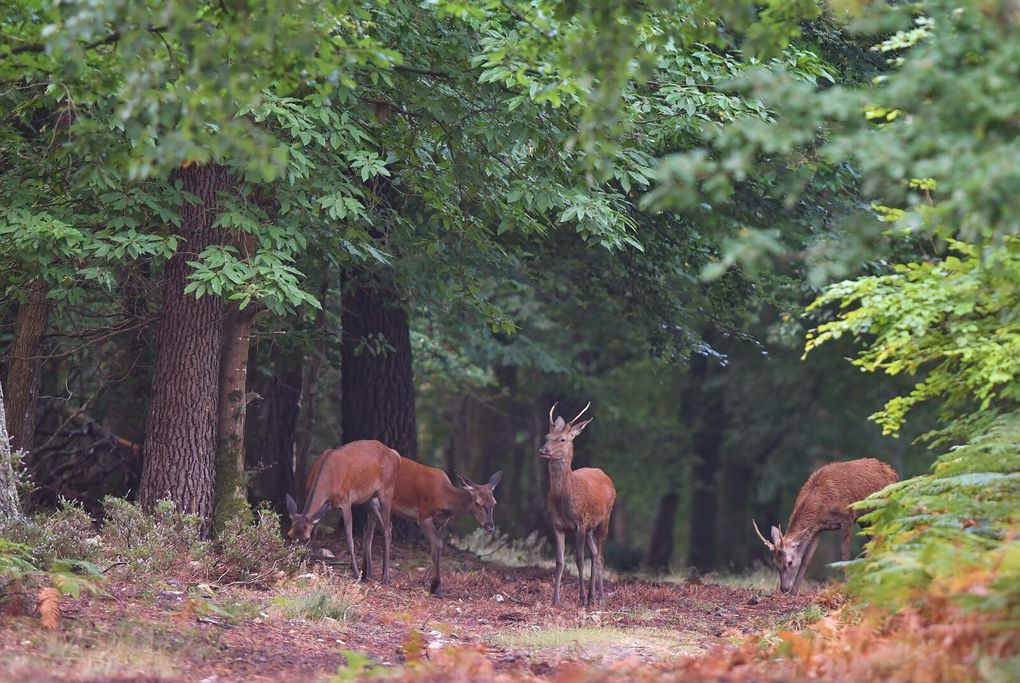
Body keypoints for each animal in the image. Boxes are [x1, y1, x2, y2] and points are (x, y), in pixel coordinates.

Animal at [287, 442, 401, 587]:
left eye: (304, 539)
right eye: (289, 535)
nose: (293, 560)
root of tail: (395, 454)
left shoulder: (346, 501)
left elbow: (349, 537)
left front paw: (356, 575)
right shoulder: (325, 507)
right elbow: (315, 533)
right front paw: (302, 564)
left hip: (387, 490)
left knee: (387, 529)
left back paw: (384, 577)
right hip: (369, 498)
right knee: (373, 529)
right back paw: (368, 574)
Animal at [365, 460, 499, 599]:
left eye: (494, 503)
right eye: (477, 503)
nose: (490, 526)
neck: (443, 499)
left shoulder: (440, 523)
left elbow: (435, 550)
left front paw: (431, 585)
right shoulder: (423, 516)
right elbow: (439, 544)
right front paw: (437, 587)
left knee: (367, 532)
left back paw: (368, 574)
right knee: (380, 530)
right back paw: (382, 576)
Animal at [542, 401, 612, 611]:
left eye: (562, 439)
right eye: (546, 436)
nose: (543, 450)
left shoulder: (580, 522)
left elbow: (579, 560)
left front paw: (580, 598)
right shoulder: (557, 525)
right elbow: (559, 561)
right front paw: (555, 599)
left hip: (605, 518)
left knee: (600, 556)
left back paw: (600, 599)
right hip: (590, 527)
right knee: (595, 553)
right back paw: (592, 596)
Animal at [750, 456, 901, 595]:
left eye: (790, 562)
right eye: (775, 563)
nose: (784, 588)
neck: (822, 505)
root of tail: (893, 473)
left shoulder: (847, 517)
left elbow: (845, 553)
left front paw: (846, 585)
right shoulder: (818, 528)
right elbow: (806, 558)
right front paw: (795, 590)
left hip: (886, 508)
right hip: (865, 519)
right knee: (876, 542)